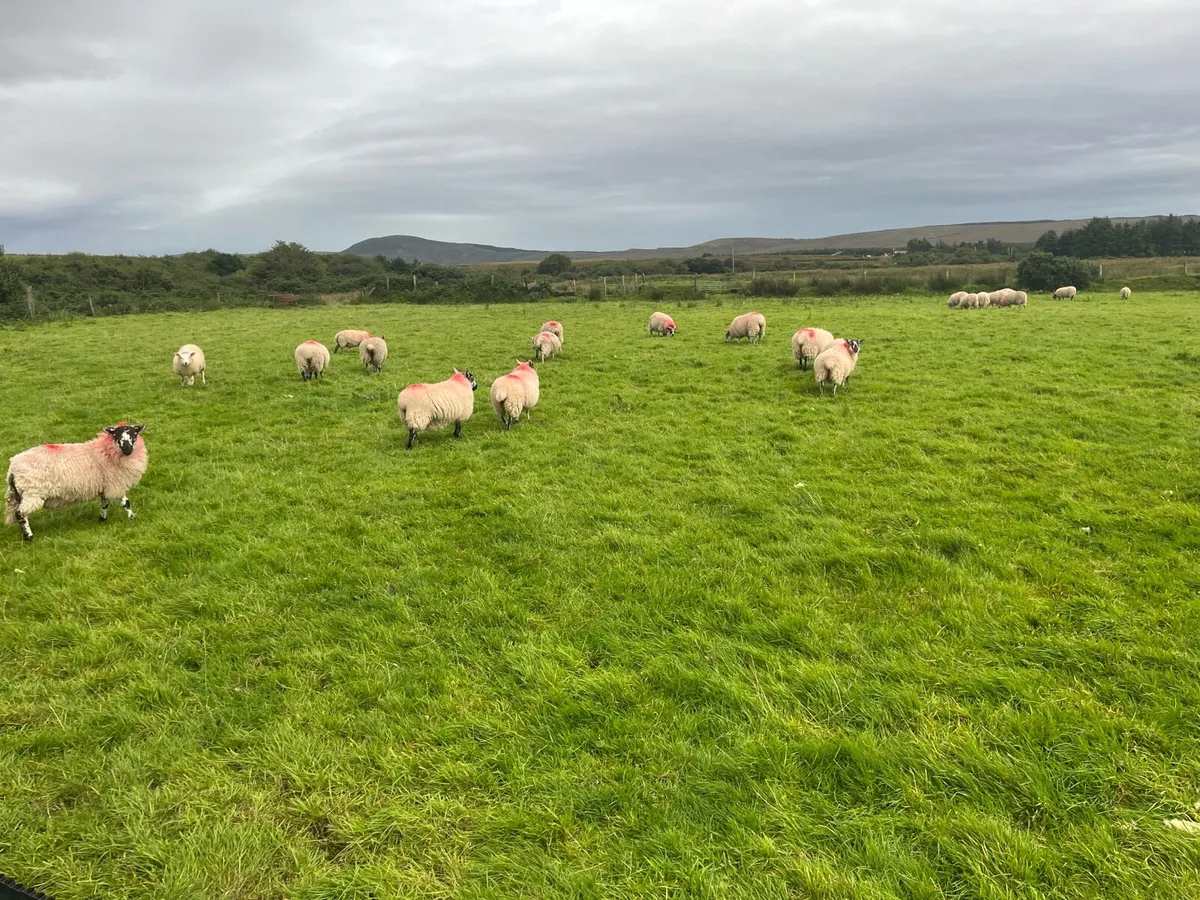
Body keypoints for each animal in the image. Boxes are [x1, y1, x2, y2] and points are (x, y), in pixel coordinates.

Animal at [5, 423, 147, 541]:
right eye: (116, 435)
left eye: (134, 434)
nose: (127, 449)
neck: (106, 451)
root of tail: (12, 468)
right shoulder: (116, 483)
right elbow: (126, 503)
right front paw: (132, 518)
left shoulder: (106, 484)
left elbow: (104, 504)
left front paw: (102, 519)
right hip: (32, 492)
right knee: (20, 514)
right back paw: (29, 537)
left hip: (21, 494)